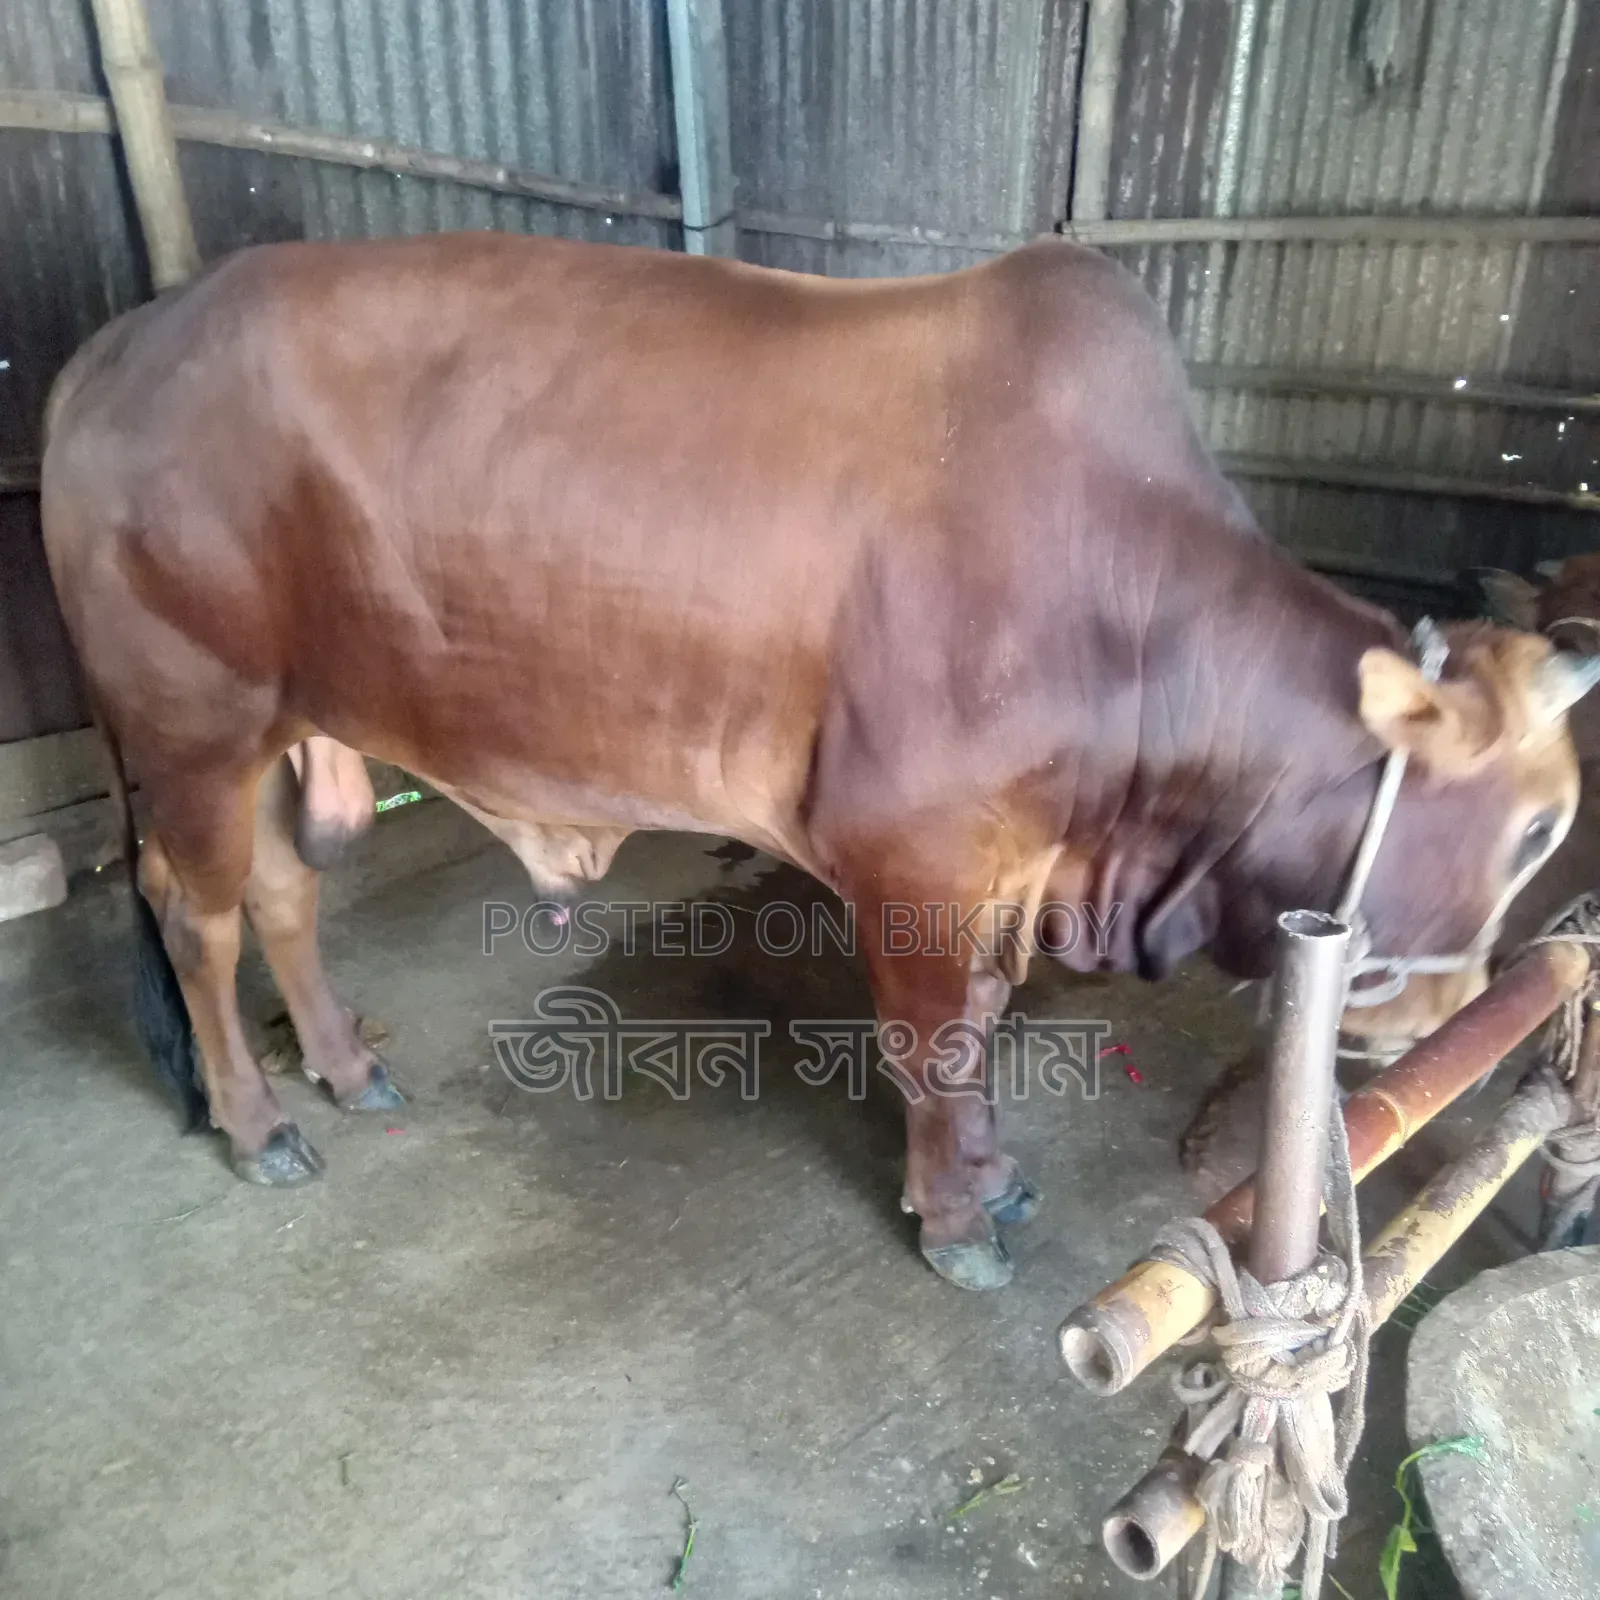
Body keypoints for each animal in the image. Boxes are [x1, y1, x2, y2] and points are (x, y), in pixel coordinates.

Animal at [40, 233, 1600, 1291]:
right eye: (1537, 827)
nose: (1455, 1011)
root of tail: (111, 348)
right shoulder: (915, 861)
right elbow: (940, 1044)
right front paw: (959, 1219)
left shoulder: (1006, 874)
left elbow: (981, 1024)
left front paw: (989, 1184)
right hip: (192, 726)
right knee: (198, 916)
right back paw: (254, 1124)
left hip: (282, 729)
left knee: (285, 898)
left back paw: (349, 1067)